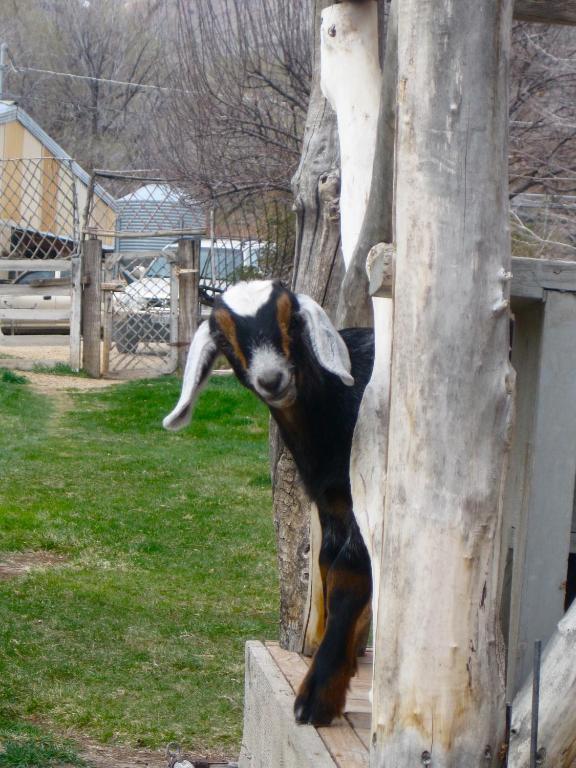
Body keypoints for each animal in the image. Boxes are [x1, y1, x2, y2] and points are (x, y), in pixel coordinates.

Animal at [164, 280, 376, 724]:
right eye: (224, 338)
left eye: (292, 320)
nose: (271, 379)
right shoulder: (332, 505)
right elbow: (328, 570)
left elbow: (348, 578)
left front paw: (316, 698)